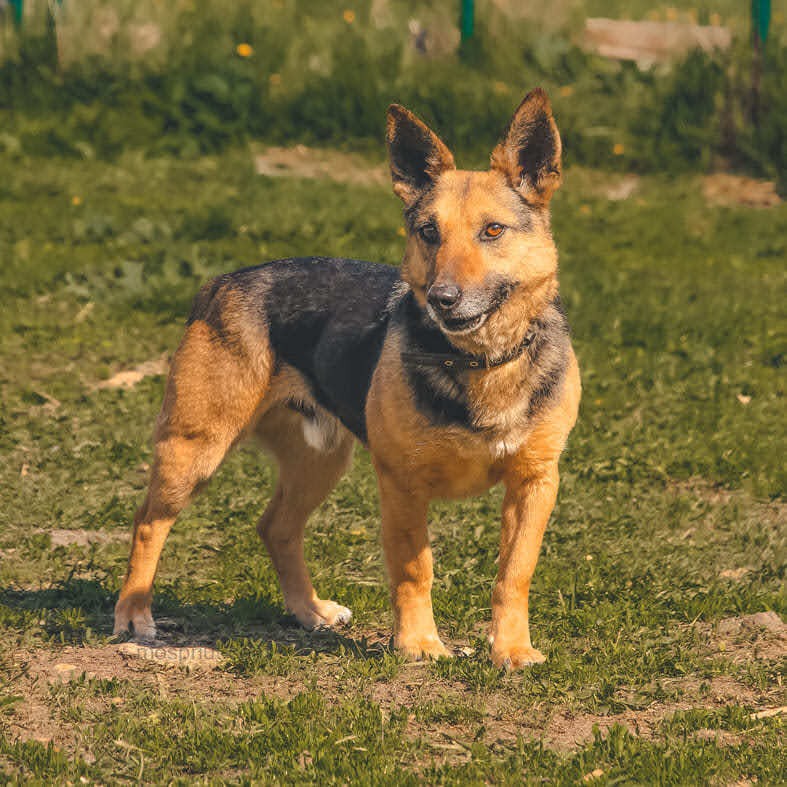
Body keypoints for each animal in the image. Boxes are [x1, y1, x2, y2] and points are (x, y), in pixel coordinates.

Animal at [114, 89, 580, 668]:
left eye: (493, 231)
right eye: (429, 232)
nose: (443, 299)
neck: (480, 362)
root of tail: (221, 282)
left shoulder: (535, 482)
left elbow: (514, 574)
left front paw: (512, 648)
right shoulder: (401, 483)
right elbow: (415, 569)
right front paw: (419, 644)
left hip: (321, 460)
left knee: (276, 527)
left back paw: (308, 610)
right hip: (194, 450)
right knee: (148, 522)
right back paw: (134, 613)